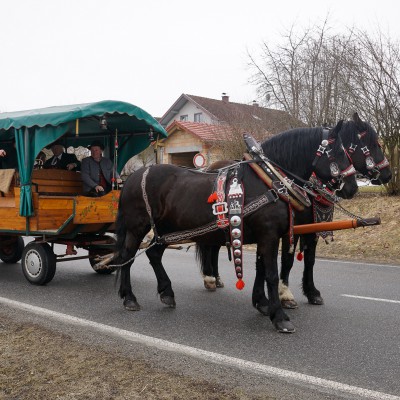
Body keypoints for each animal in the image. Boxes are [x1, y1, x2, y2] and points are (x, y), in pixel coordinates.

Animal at [113, 120, 360, 332]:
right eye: (339, 152)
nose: (353, 187)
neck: (269, 180)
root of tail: (133, 176)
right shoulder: (269, 235)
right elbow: (271, 274)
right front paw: (280, 316)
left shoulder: (264, 236)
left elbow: (261, 270)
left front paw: (262, 303)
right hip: (138, 228)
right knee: (127, 257)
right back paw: (129, 297)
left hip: (166, 230)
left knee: (153, 254)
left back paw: (167, 292)